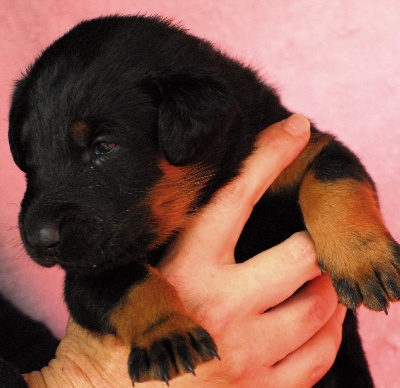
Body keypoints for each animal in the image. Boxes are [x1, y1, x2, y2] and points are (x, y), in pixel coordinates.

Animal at [7, 15, 398, 384]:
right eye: (28, 157)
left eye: (104, 146)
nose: (38, 239)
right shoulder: (88, 269)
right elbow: (128, 283)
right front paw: (166, 333)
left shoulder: (308, 149)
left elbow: (333, 179)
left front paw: (362, 258)